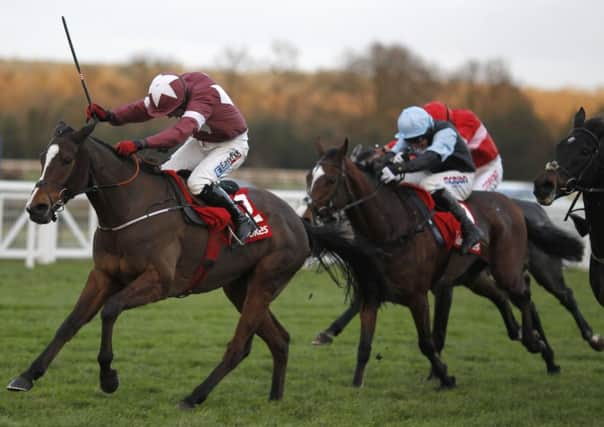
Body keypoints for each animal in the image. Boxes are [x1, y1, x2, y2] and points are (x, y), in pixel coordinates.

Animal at [7, 122, 380, 410]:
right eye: (42, 159)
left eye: (67, 160)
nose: (36, 208)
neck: (130, 207)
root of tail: (299, 222)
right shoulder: (103, 275)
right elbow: (69, 323)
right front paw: (26, 376)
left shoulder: (159, 281)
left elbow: (110, 310)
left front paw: (108, 377)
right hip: (239, 287)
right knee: (280, 338)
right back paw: (275, 398)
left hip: (265, 280)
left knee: (240, 345)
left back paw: (194, 396)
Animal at [310, 140, 560, 388]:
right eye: (311, 177)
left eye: (330, 180)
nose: (310, 214)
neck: (391, 230)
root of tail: (514, 205)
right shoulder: (372, 294)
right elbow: (364, 344)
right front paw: (356, 383)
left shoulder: (419, 297)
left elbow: (427, 342)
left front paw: (445, 377)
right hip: (472, 275)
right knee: (501, 295)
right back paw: (523, 336)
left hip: (506, 268)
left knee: (524, 294)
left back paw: (536, 343)